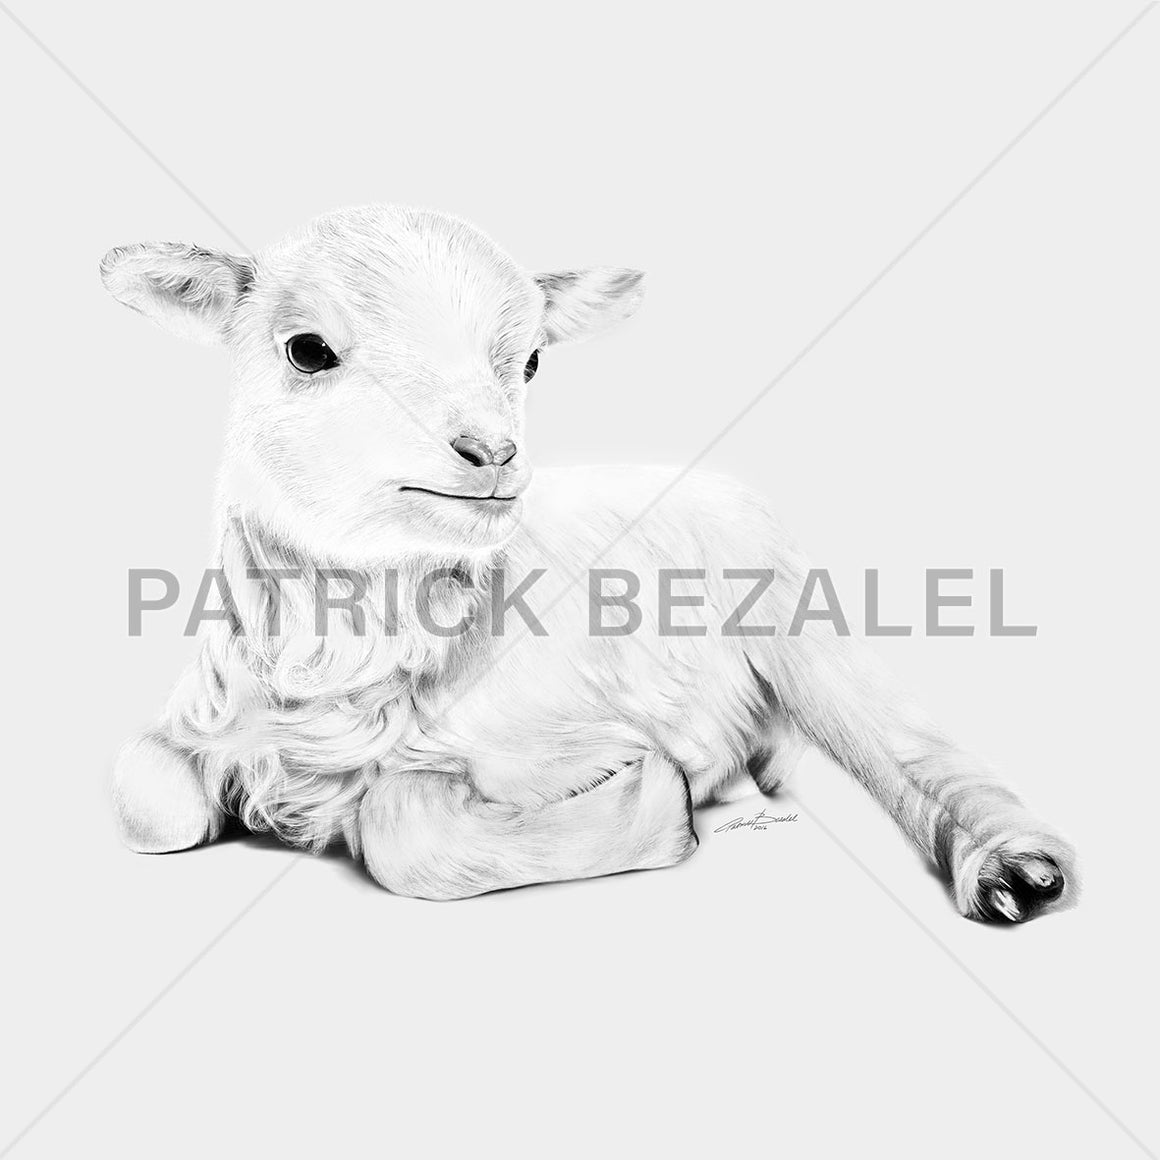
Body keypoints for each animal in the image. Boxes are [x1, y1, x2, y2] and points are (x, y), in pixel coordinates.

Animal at [101, 204, 1077, 920]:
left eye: (532, 361)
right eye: (307, 350)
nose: (494, 453)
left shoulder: (560, 741)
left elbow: (404, 830)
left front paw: (656, 805)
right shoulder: (203, 722)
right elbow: (149, 799)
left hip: (794, 611)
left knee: (903, 741)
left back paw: (1013, 869)